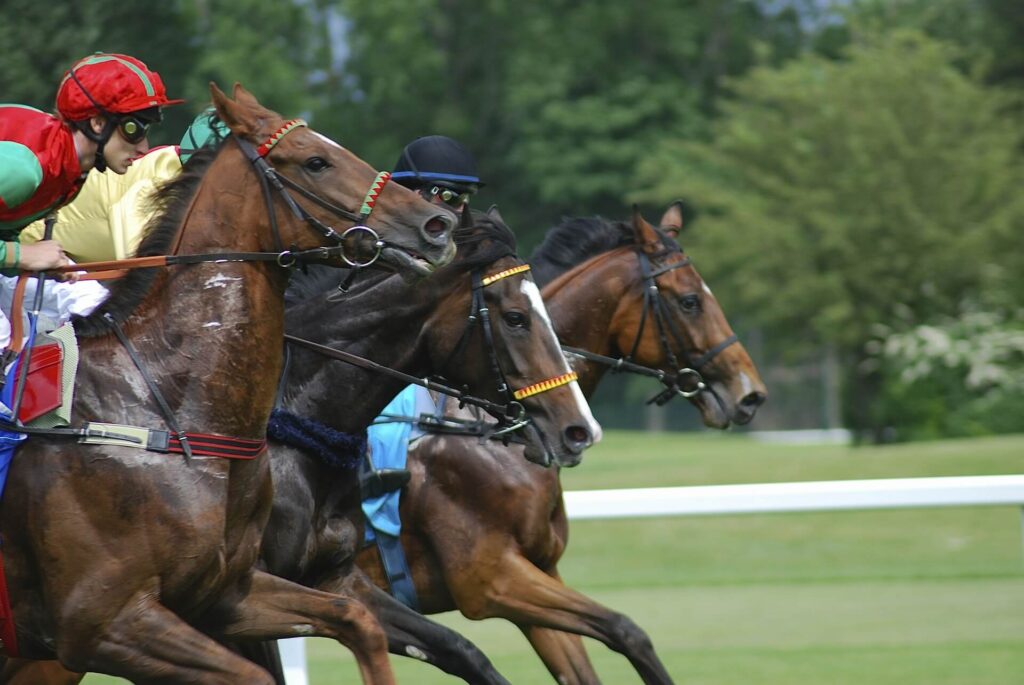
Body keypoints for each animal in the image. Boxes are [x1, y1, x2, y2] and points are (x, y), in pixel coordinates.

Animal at [0, 82, 456, 679]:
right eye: (315, 161)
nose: (436, 225)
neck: (164, 409)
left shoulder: (226, 593)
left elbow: (358, 621)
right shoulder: (104, 623)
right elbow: (255, 673)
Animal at [356, 208, 765, 683]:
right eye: (689, 301)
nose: (750, 394)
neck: (488, 434)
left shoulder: (538, 572)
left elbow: (599, 654)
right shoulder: (490, 579)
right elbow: (626, 630)